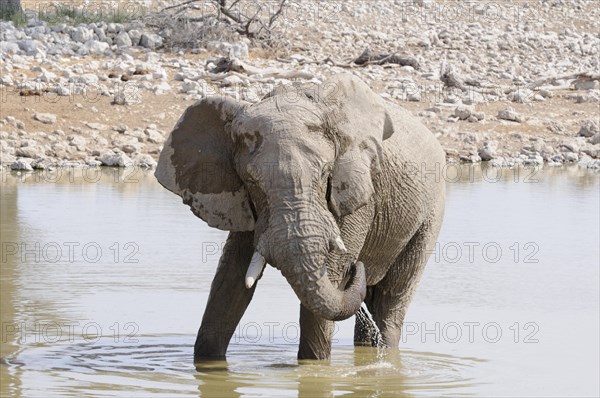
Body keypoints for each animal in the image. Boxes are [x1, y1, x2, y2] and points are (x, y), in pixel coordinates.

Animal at [155, 74, 446, 360]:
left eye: (326, 173)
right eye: (251, 182)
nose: (356, 268)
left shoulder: (357, 193)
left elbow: (329, 277)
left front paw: (314, 366)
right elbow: (231, 278)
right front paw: (208, 364)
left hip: (431, 213)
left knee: (389, 303)